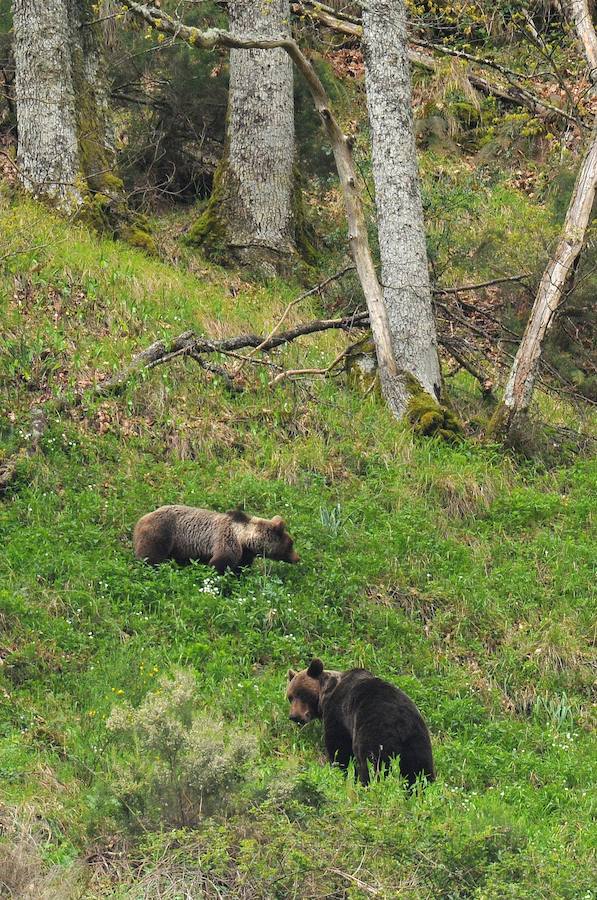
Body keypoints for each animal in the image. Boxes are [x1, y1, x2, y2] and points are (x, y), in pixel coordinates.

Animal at [132, 506, 296, 576]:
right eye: (291, 544)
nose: (297, 558)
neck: (244, 538)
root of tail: (140, 520)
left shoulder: (245, 553)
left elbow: (241, 568)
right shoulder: (227, 540)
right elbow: (221, 562)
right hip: (161, 533)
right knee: (150, 557)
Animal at [286, 656, 434, 784]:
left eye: (302, 694)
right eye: (290, 697)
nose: (294, 716)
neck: (326, 694)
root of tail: (401, 724)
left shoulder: (338, 713)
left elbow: (339, 747)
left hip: (375, 733)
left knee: (372, 764)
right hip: (418, 741)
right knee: (420, 771)